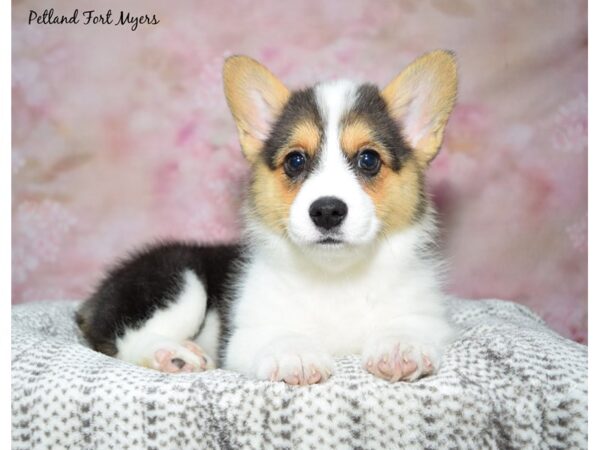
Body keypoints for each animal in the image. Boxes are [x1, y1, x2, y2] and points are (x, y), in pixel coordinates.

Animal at [77, 51, 458, 384]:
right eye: (295, 161)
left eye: (369, 159)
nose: (327, 211)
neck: (336, 276)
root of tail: (94, 301)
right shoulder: (245, 335)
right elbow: (279, 335)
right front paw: (296, 355)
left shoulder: (431, 318)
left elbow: (410, 325)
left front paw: (400, 347)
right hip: (177, 278)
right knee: (124, 340)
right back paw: (171, 355)